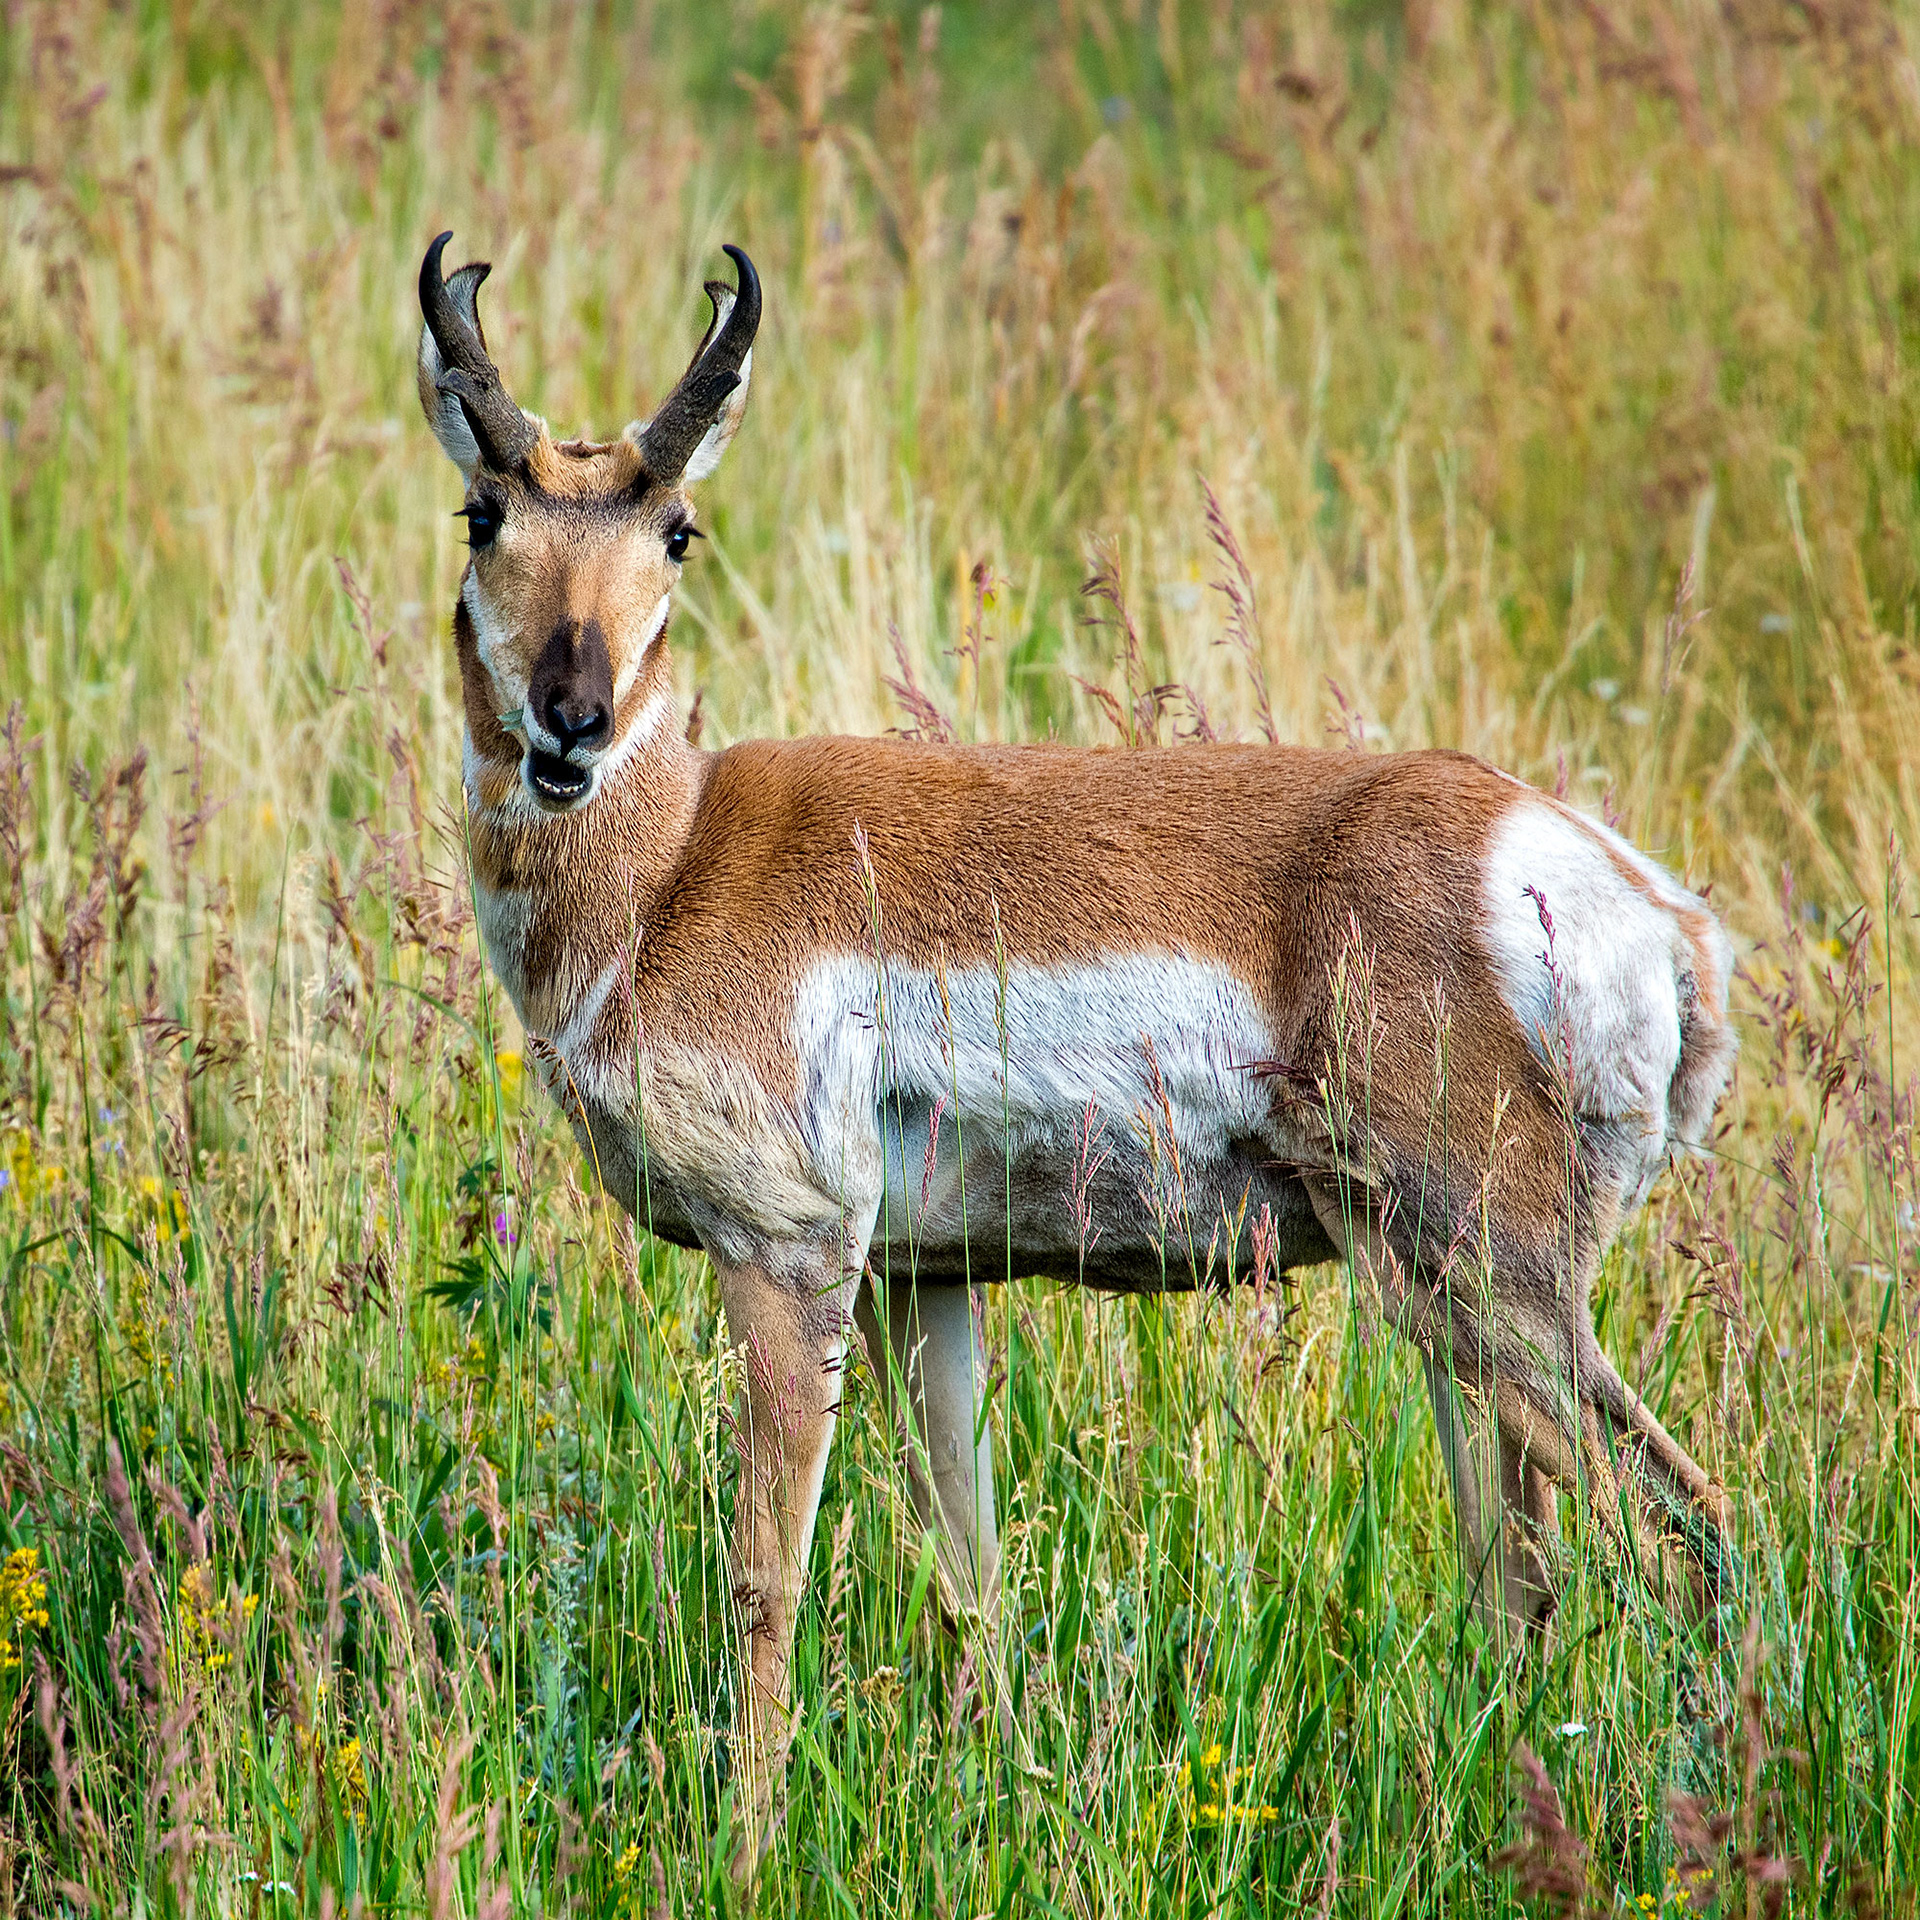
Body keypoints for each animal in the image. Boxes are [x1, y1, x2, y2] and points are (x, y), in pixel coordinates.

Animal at [416, 234, 1736, 1875]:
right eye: (485, 511)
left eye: (678, 529)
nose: (571, 722)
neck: (676, 863)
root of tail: (1642, 906)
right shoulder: (924, 1281)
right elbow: (969, 1568)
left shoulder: (790, 1253)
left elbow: (766, 1577)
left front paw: (745, 1843)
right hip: (1451, 1309)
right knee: (1531, 1575)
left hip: (1487, 1280)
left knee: (1679, 1530)